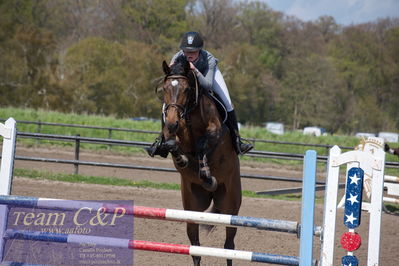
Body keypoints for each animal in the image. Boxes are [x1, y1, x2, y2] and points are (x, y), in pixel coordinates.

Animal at [159, 55, 241, 264]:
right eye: (165, 89)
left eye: (187, 90)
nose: (172, 122)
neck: (190, 112)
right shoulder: (171, 131)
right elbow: (171, 143)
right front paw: (182, 161)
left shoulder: (215, 130)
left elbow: (203, 144)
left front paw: (207, 176)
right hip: (192, 207)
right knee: (195, 246)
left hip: (230, 205)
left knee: (229, 246)